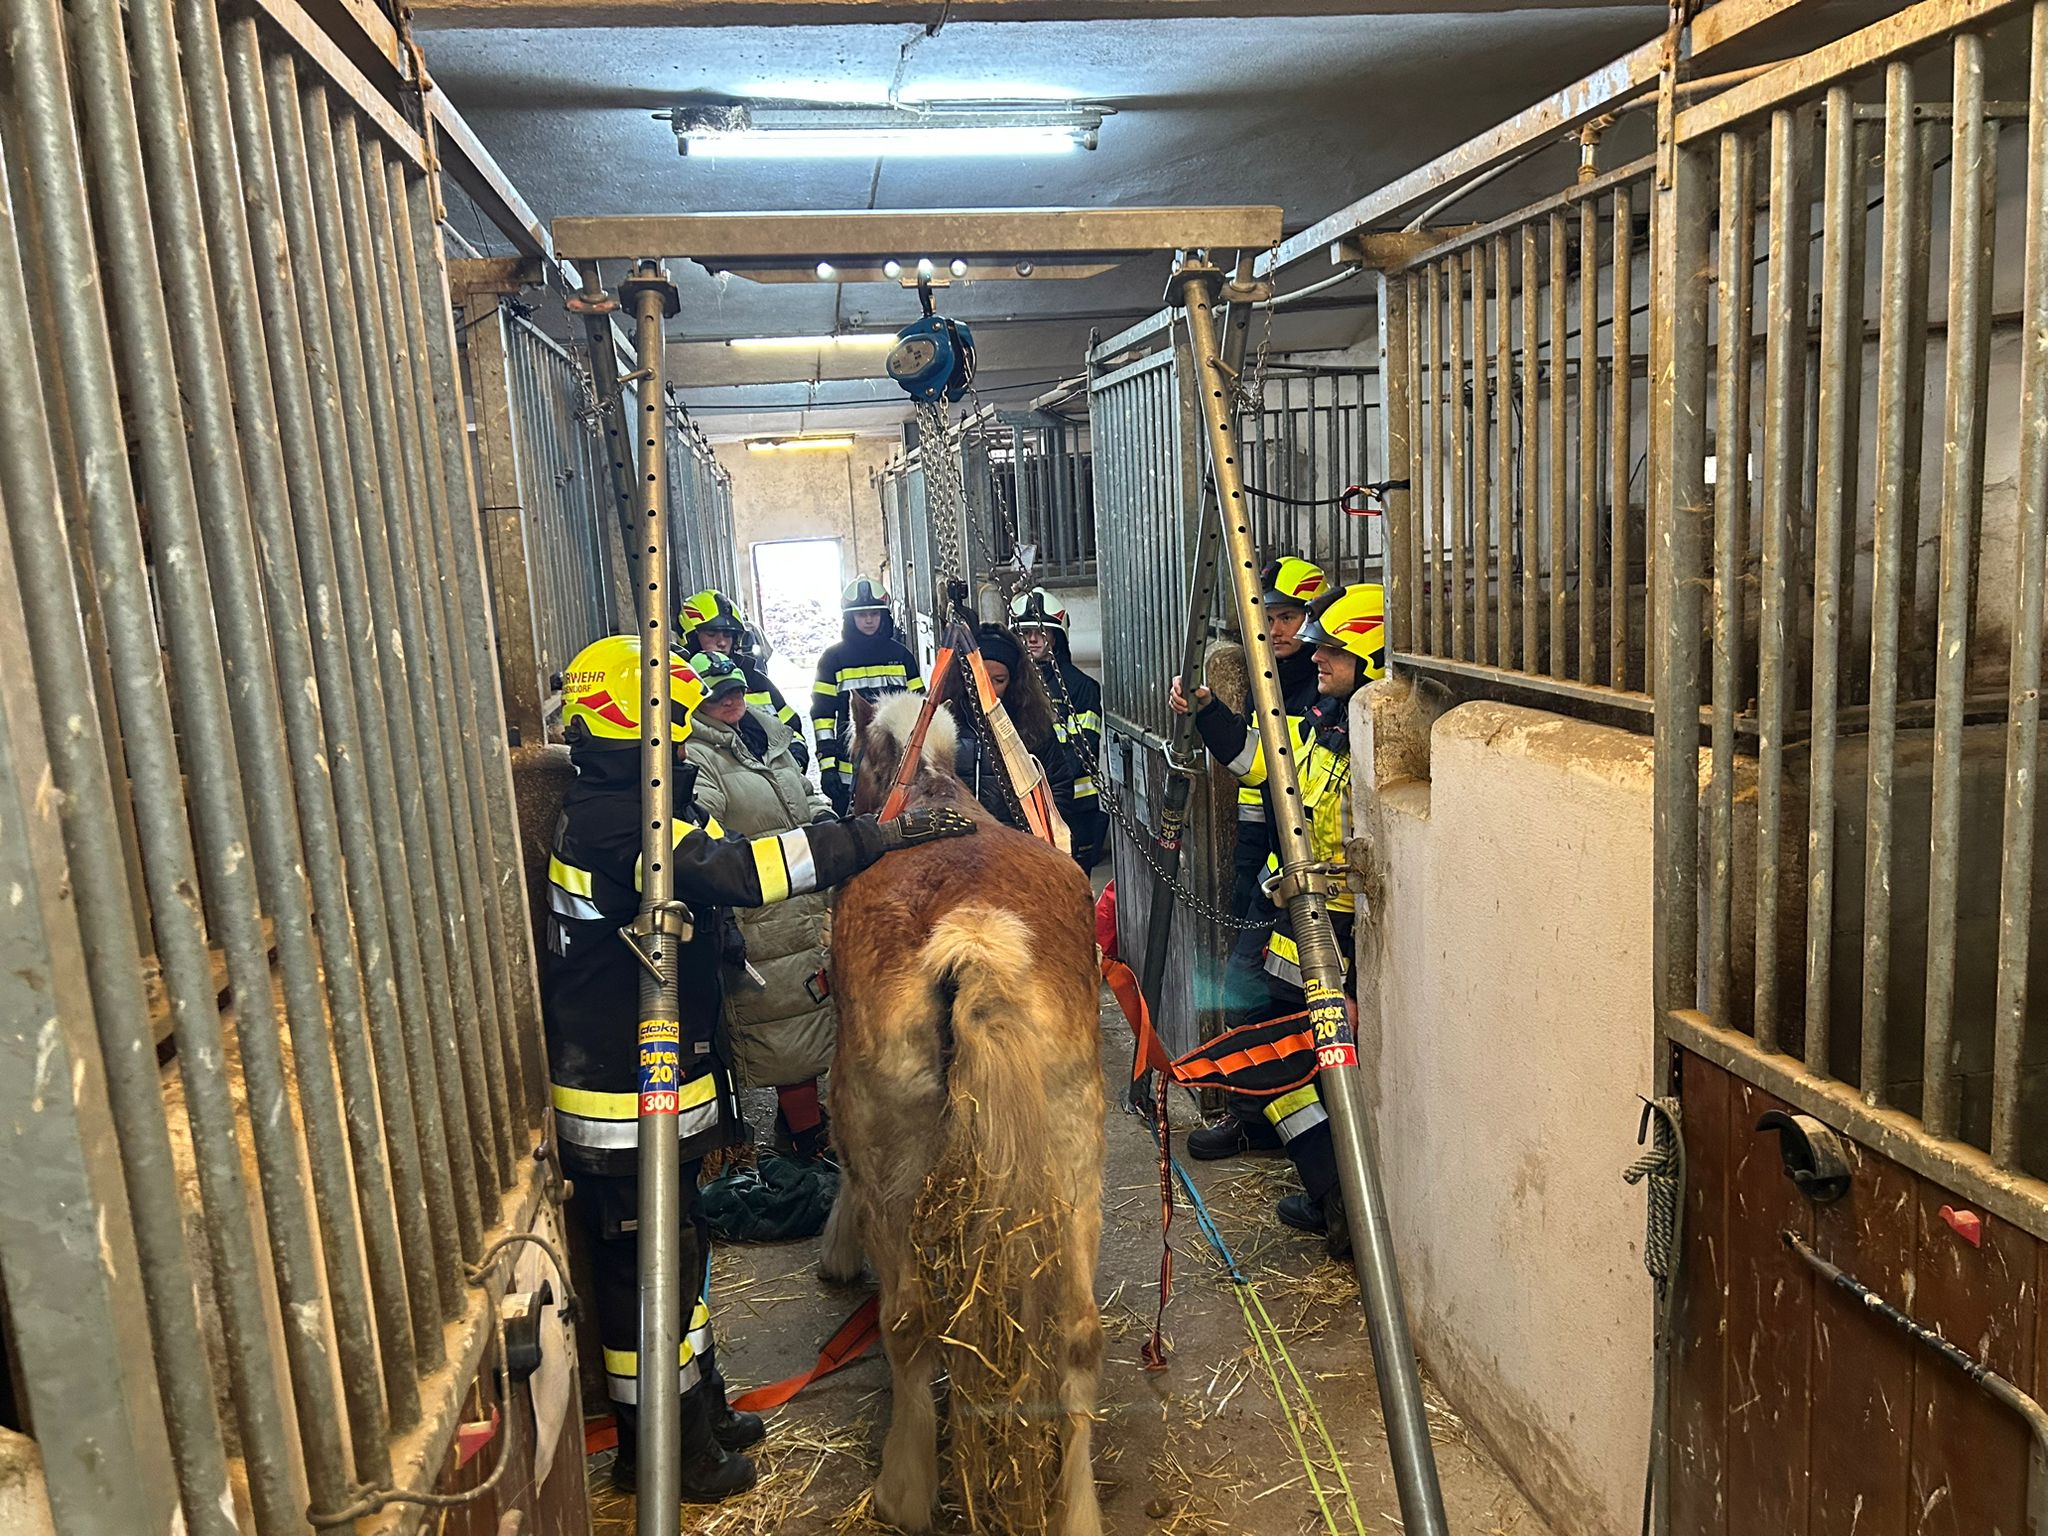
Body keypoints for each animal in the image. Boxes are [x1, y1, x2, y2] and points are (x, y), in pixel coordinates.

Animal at [820, 689, 1106, 1536]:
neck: (927, 789)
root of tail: (975, 940)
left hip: (893, 1149)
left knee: (908, 1324)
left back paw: (904, 1488)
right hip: (1072, 1145)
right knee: (1078, 1336)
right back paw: (1078, 1509)